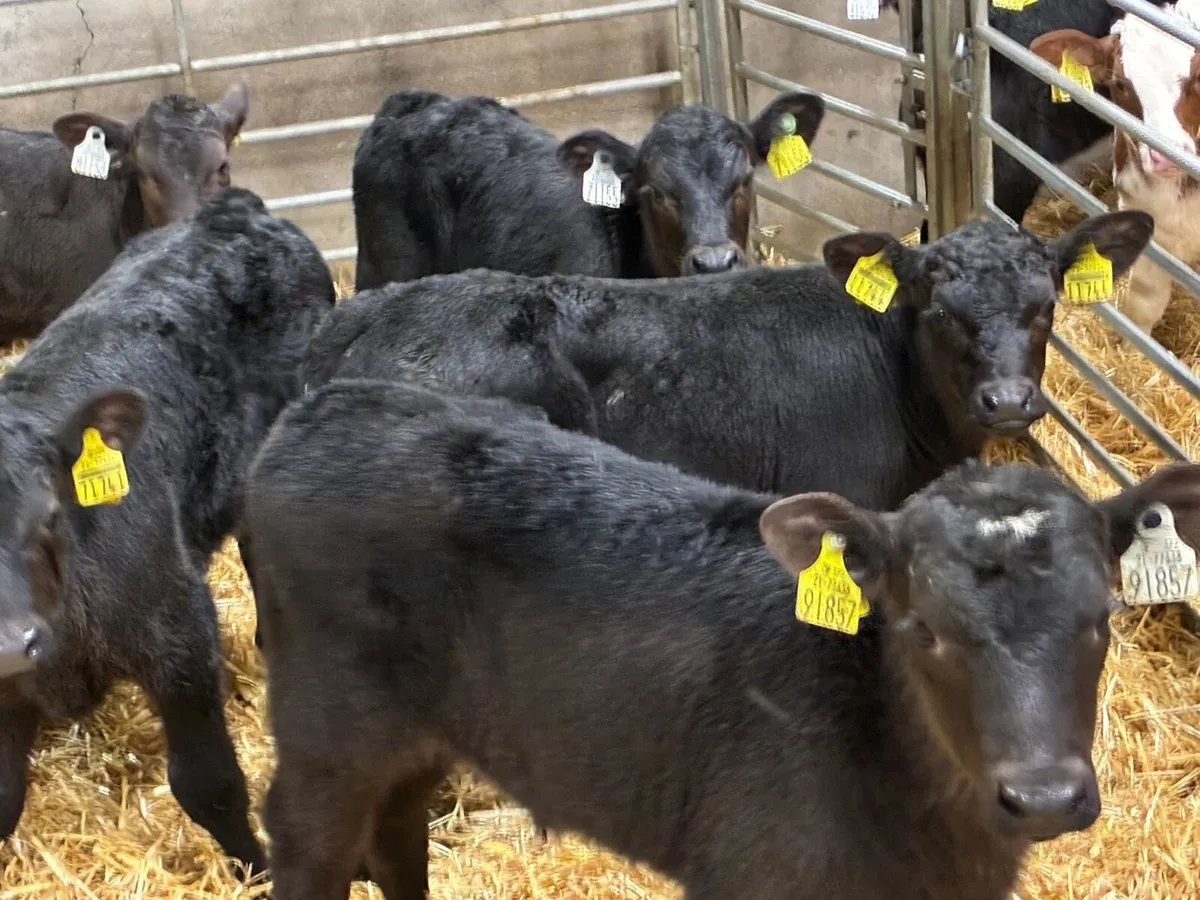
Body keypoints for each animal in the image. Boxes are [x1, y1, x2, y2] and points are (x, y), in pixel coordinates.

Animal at [0, 187, 334, 879]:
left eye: (48, 513)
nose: (11, 643)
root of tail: (231, 210)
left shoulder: (177, 632)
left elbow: (208, 783)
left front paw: (258, 870)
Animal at [244, 378, 1200, 900]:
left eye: (1102, 616)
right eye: (922, 627)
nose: (1043, 797)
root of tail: (324, 405)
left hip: (418, 728)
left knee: (396, 829)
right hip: (326, 726)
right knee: (308, 838)